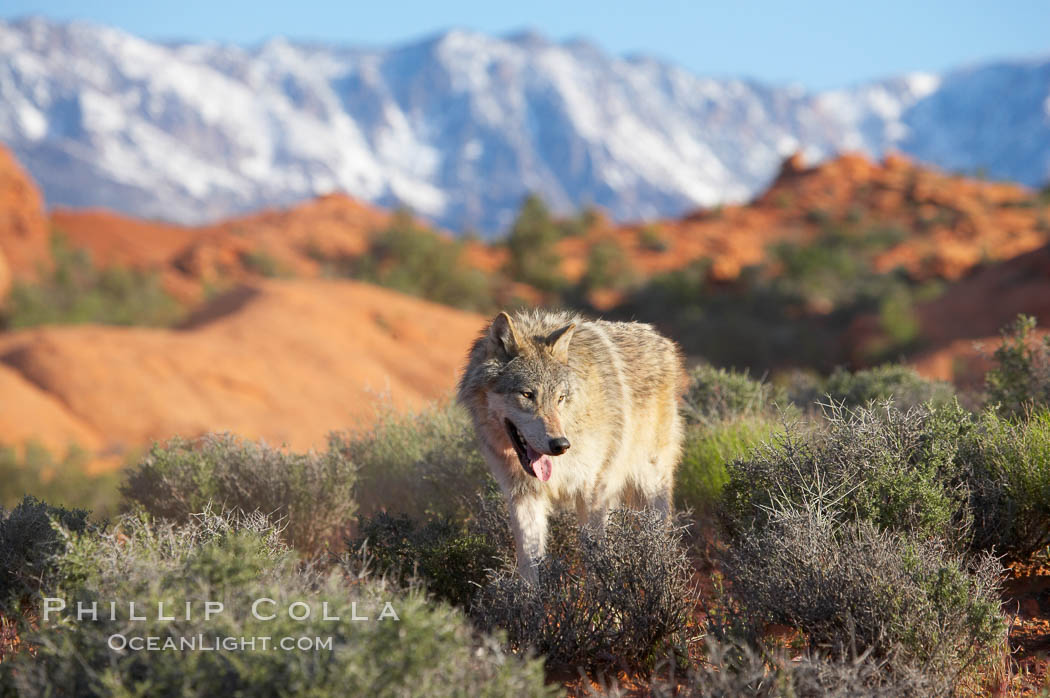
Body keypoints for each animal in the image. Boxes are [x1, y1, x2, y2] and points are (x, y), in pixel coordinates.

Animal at [457, 309, 684, 581]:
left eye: (560, 398)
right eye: (527, 395)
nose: (560, 444)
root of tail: (662, 340)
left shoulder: (592, 492)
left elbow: (595, 560)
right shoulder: (524, 496)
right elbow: (529, 564)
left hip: (650, 486)